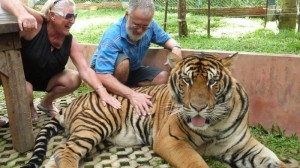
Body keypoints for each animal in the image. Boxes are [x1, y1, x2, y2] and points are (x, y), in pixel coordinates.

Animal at [21, 51, 288, 167]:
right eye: (187, 80)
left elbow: (276, 162)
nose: (198, 107)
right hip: (95, 126)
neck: (214, 125)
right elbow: (196, 163)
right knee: (65, 151)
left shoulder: (243, 147)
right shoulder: (171, 140)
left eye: (212, 82)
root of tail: (73, 102)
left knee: (58, 154)